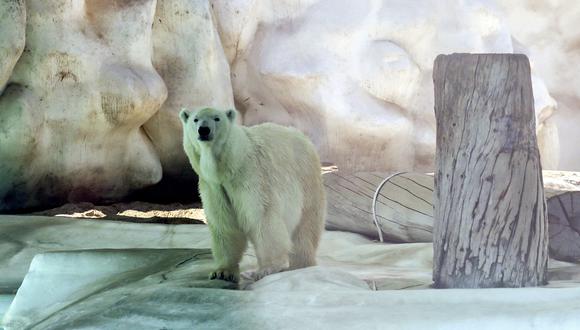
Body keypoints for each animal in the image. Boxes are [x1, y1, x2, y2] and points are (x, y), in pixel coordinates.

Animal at [180, 107, 326, 282]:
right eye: (195, 119)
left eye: (217, 118)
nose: (203, 130)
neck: (230, 166)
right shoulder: (214, 186)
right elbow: (224, 224)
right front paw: (222, 272)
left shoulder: (250, 176)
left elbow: (262, 218)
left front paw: (266, 269)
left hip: (306, 181)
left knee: (305, 227)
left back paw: (301, 264)